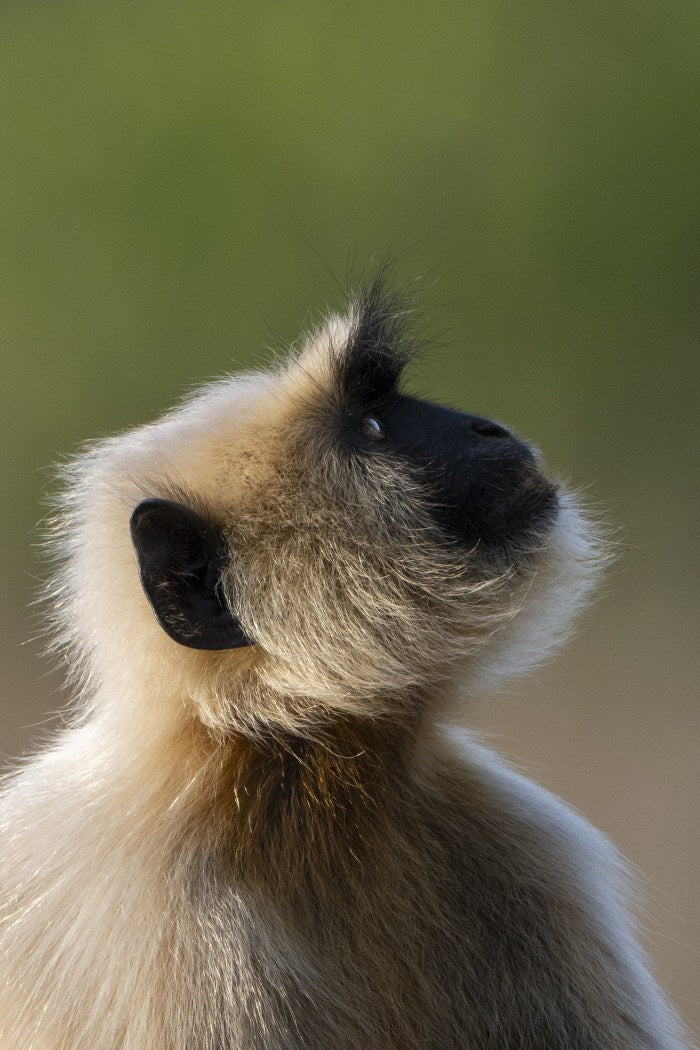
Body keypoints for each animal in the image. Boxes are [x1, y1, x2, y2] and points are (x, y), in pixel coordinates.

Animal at [0, 279, 691, 1050]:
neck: (300, 778)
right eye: (373, 427)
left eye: (387, 404)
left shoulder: (528, 854)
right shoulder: (175, 939)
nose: (486, 429)